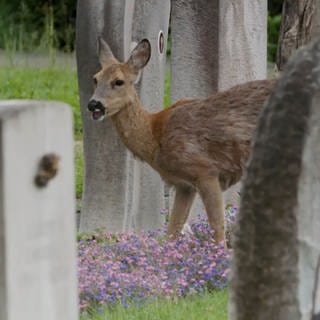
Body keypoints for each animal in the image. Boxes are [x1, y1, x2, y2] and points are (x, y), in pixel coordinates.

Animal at [87, 37, 276, 245]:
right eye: (95, 78)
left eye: (118, 81)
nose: (93, 104)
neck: (155, 137)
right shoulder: (184, 184)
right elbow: (173, 229)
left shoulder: (206, 170)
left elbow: (217, 226)